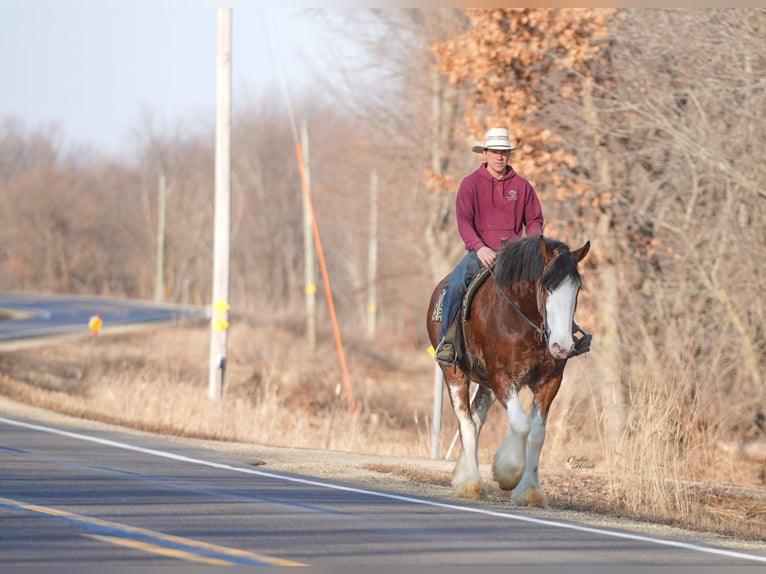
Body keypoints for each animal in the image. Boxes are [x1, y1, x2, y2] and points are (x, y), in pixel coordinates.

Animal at [426, 234, 591, 506]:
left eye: (577, 289)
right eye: (548, 287)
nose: (563, 346)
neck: (523, 321)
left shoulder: (550, 382)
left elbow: (537, 434)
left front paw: (530, 491)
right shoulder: (502, 378)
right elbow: (522, 426)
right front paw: (508, 472)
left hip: (486, 386)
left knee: (476, 418)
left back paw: (463, 472)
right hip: (454, 374)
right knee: (467, 424)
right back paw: (471, 483)